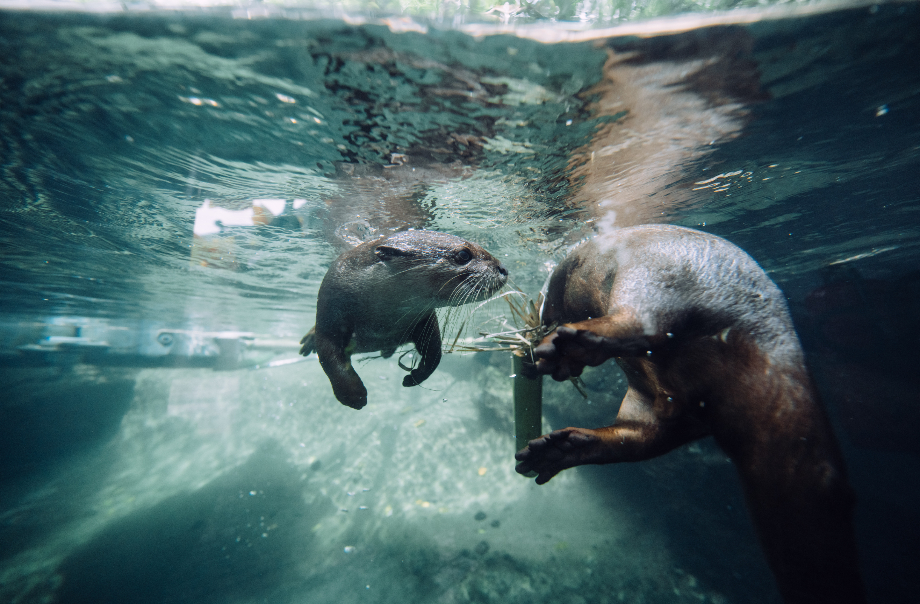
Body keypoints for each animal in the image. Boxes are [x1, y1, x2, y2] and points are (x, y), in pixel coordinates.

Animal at [300, 231, 506, 410]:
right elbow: (330, 359)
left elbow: (434, 351)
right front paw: (353, 395)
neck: (379, 322)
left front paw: (414, 377)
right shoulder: (330, 314)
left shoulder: (425, 318)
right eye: (464, 254)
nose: (503, 268)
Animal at [516, 225, 864, 604]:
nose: (535, 321)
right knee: (640, 433)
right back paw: (558, 449)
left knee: (643, 322)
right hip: (663, 398)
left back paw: (568, 349)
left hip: (657, 276)